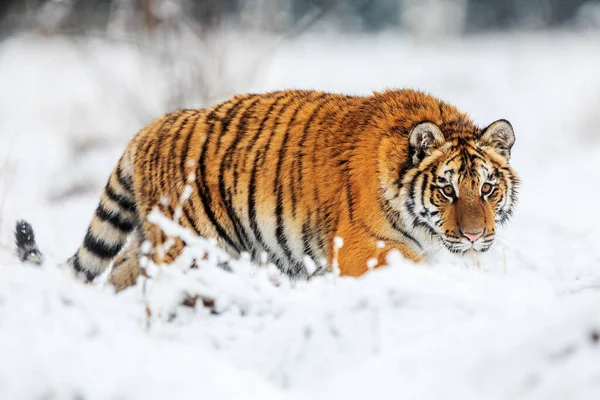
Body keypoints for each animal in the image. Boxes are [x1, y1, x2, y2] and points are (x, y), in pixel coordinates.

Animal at [15, 90, 520, 290]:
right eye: (447, 191)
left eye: (487, 189)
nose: (475, 236)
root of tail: (149, 129)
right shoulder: (367, 252)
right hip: (187, 247)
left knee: (119, 271)